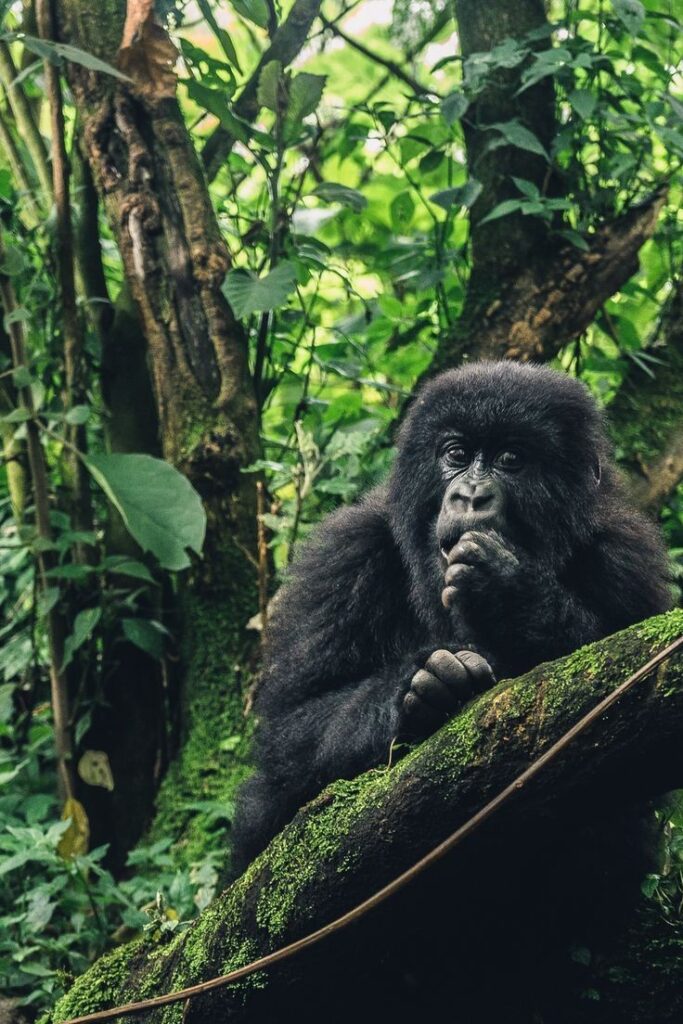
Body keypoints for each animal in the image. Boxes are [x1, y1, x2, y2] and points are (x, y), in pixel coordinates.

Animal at [232, 364, 671, 868]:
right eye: (456, 454)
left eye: (511, 458)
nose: (471, 495)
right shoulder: (346, 554)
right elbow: (292, 729)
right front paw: (422, 684)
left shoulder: (626, 557)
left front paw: (508, 592)